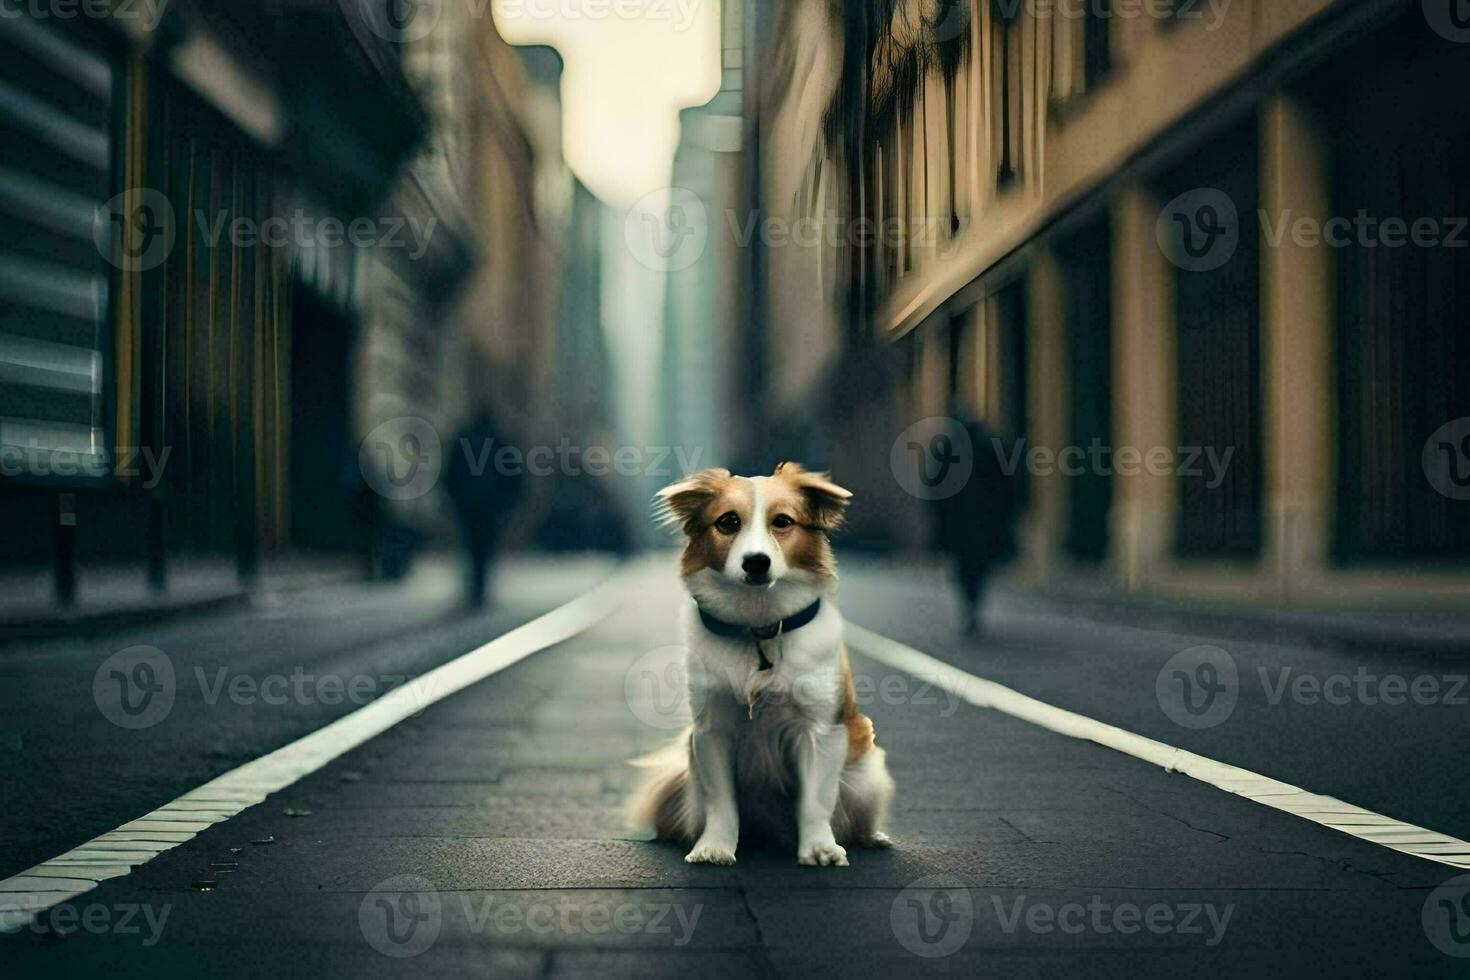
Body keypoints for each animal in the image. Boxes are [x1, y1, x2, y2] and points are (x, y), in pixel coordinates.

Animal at [626, 461, 887, 863]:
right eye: (728, 521)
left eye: (783, 521)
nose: (756, 562)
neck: (758, 625)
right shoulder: (711, 731)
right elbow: (721, 801)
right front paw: (714, 847)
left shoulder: (820, 731)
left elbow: (815, 801)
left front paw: (819, 849)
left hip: (867, 774)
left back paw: (873, 836)